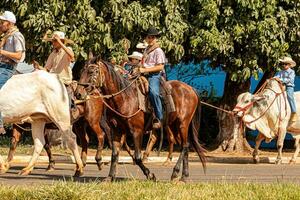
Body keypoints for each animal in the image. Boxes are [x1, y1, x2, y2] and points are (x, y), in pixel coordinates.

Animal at [75, 56, 206, 181]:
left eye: (92, 72)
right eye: (81, 71)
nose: (78, 93)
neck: (125, 98)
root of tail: (191, 89)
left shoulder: (137, 131)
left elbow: (137, 157)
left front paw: (150, 175)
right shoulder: (116, 131)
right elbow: (115, 154)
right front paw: (110, 177)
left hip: (183, 124)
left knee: (184, 146)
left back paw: (175, 172)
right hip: (173, 126)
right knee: (185, 145)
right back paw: (184, 176)